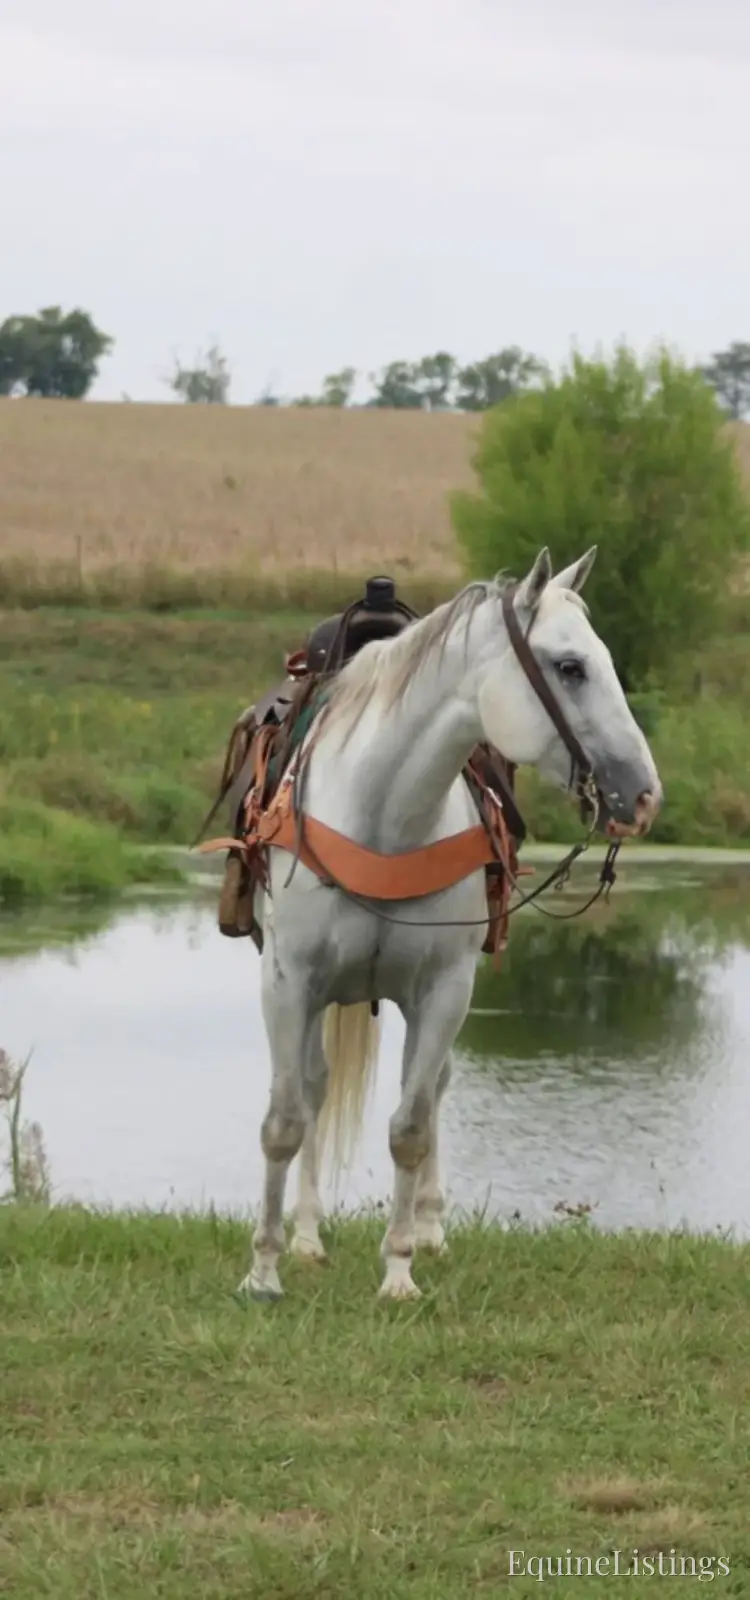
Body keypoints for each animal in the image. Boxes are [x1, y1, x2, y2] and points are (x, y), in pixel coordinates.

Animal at [241, 546, 662, 1302]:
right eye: (570, 667)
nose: (644, 796)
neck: (384, 817)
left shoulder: (444, 990)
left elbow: (412, 1125)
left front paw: (400, 1271)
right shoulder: (288, 980)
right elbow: (285, 1121)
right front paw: (263, 1270)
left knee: (431, 1091)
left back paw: (430, 1228)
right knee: (314, 1090)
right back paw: (309, 1236)